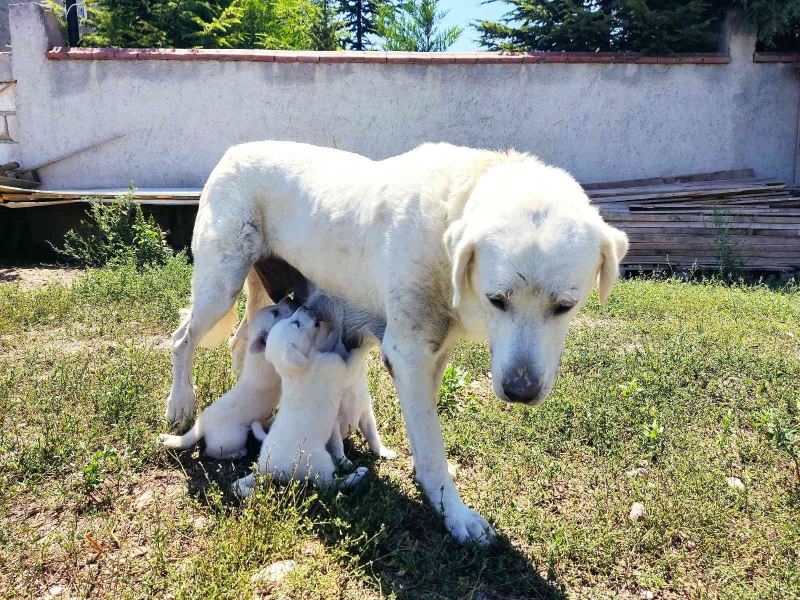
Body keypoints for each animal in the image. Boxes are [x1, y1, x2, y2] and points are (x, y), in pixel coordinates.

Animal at [158, 298, 296, 460]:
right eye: (275, 313)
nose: (289, 299)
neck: (259, 353)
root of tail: (201, 425)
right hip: (235, 437)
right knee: (211, 451)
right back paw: (238, 453)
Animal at [231, 304, 368, 496]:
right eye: (295, 323)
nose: (304, 306)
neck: (294, 370)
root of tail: (266, 468)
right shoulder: (344, 372)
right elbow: (356, 355)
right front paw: (365, 340)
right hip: (321, 463)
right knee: (330, 486)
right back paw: (357, 475)